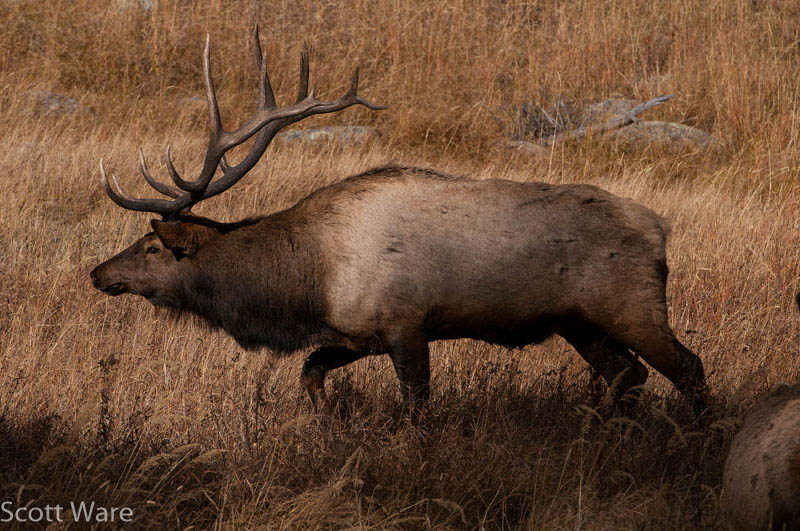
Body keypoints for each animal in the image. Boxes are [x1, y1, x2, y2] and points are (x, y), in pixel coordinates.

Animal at [90, 28, 708, 417]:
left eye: (150, 246)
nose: (97, 273)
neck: (307, 281)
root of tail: (660, 229)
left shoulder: (407, 323)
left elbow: (415, 407)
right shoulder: (354, 333)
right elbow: (311, 374)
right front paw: (331, 428)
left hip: (632, 305)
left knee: (688, 368)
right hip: (577, 323)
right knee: (629, 377)